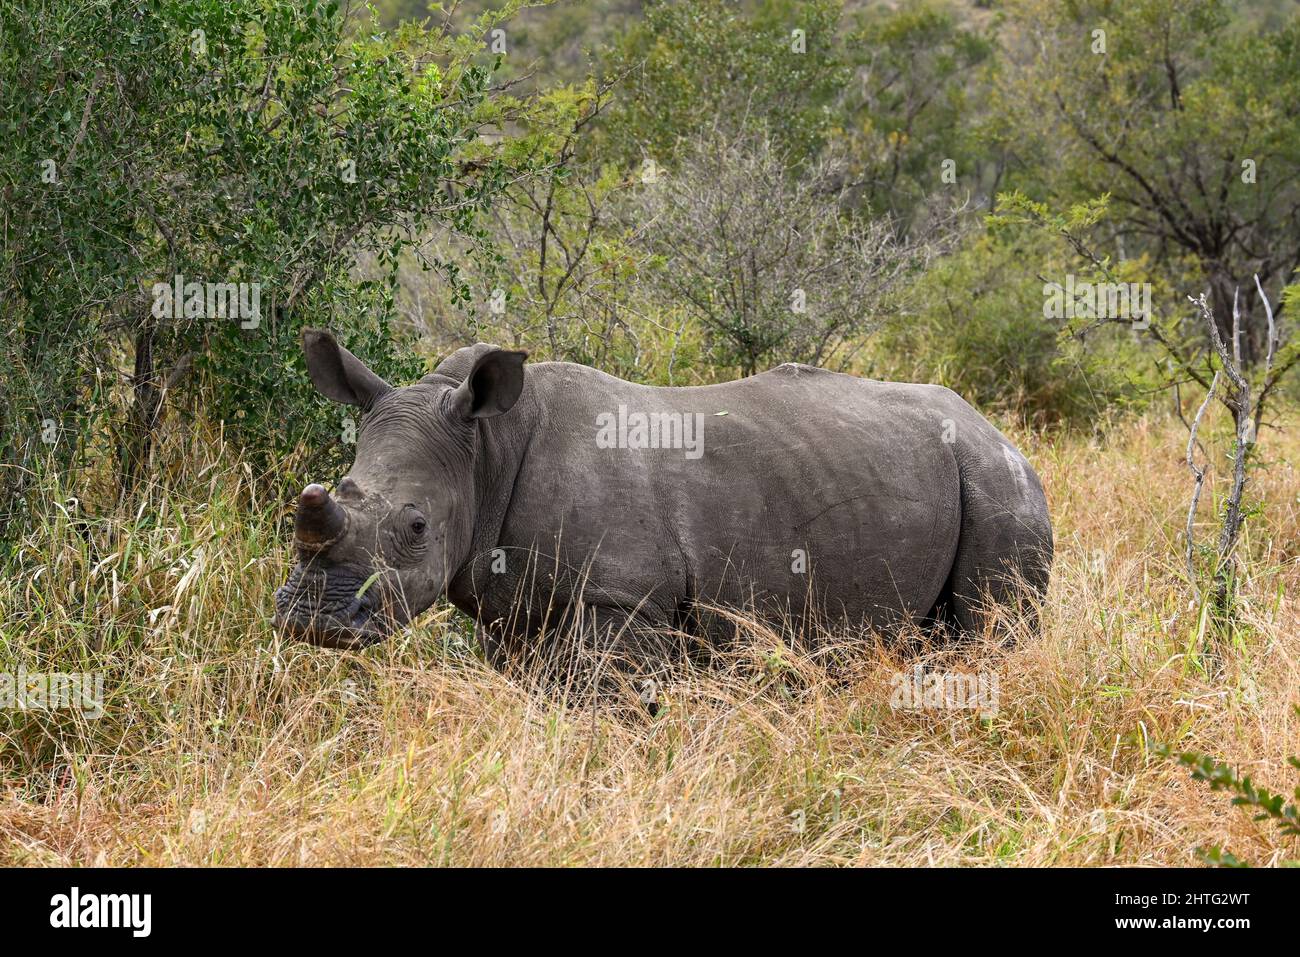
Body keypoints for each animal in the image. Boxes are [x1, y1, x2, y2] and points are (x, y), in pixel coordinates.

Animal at [275, 331, 1053, 680]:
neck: (485, 451)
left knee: (993, 628)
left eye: (415, 527)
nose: (312, 621)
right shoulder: (515, 604)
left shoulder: (624, 599)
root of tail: (1000, 432)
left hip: (996, 484)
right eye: (338, 491)